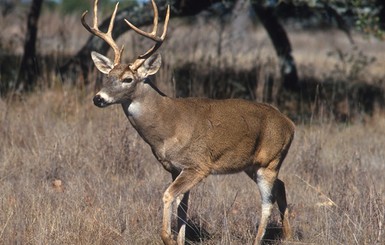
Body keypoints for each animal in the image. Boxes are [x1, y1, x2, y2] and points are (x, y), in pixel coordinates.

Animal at [82, 0, 294, 244]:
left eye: (128, 79)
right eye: (107, 77)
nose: (98, 98)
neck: (167, 128)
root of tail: (290, 124)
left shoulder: (198, 165)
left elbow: (168, 196)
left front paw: (168, 237)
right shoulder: (175, 168)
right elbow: (183, 207)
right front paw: (180, 239)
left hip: (270, 160)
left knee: (267, 202)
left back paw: (258, 239)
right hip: (252, 165)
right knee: (281, 186)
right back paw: (288, 235)